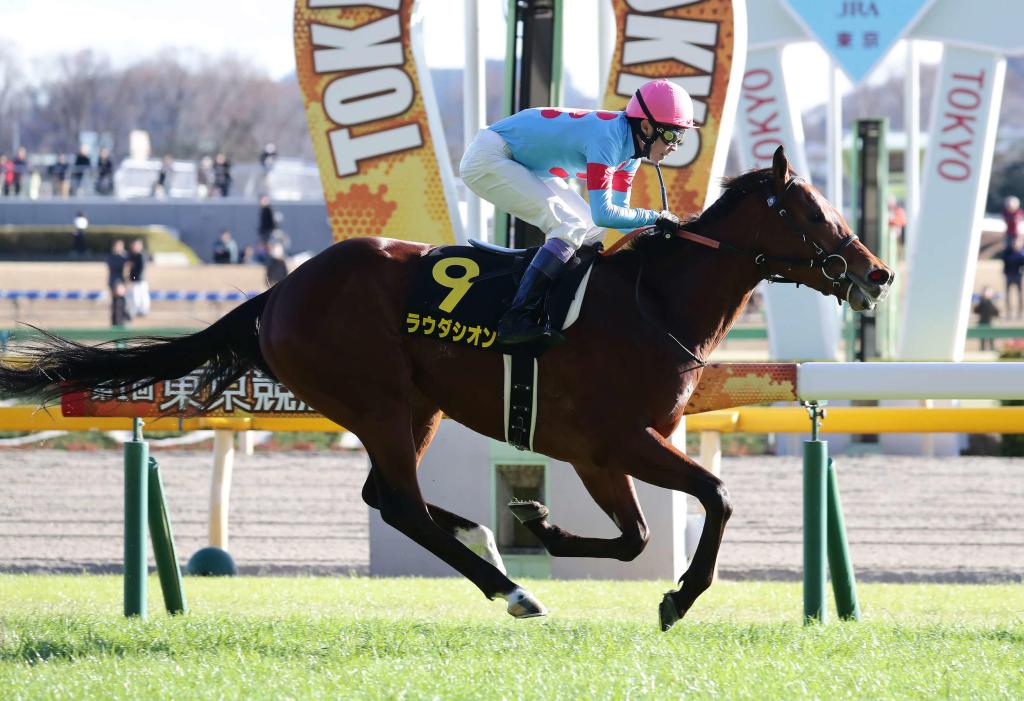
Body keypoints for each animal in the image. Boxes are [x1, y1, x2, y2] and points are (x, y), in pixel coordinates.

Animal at [0, 146, 893, 630]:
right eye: (813, 211)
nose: (877, 272)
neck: (655, 301)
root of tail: (279, 289)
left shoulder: (605, 451)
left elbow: (638, 535)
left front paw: (542, 523)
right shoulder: (620, 439)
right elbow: (715, 496)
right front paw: (677, 597)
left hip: (413, 405)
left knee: (392, 496)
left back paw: (485, 538)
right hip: (381, 399)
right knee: (397, 501)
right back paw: (510, 587)